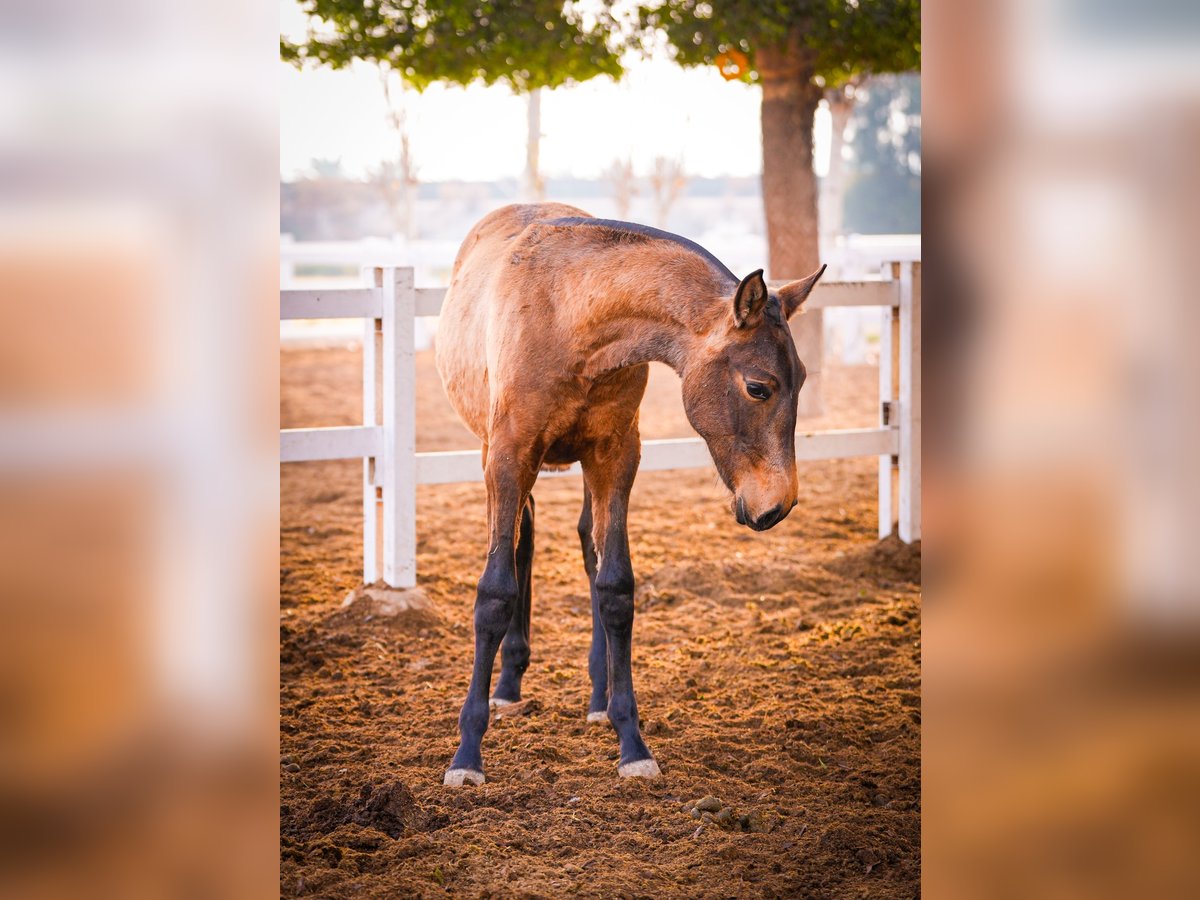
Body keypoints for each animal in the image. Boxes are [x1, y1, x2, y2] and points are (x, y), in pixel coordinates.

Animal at [439, 202, 825, 782]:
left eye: (801, 379)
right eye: (759, 387)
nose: (776, 505)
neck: (569, 314)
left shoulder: (616, 456)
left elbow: (615, 586)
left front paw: (631, 741)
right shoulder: (508, 457)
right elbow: (495, 592)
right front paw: (467, 754)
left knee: (587, 546)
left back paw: (598, 697)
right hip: (502, 459)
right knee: (523, 542)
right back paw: (508, 685)